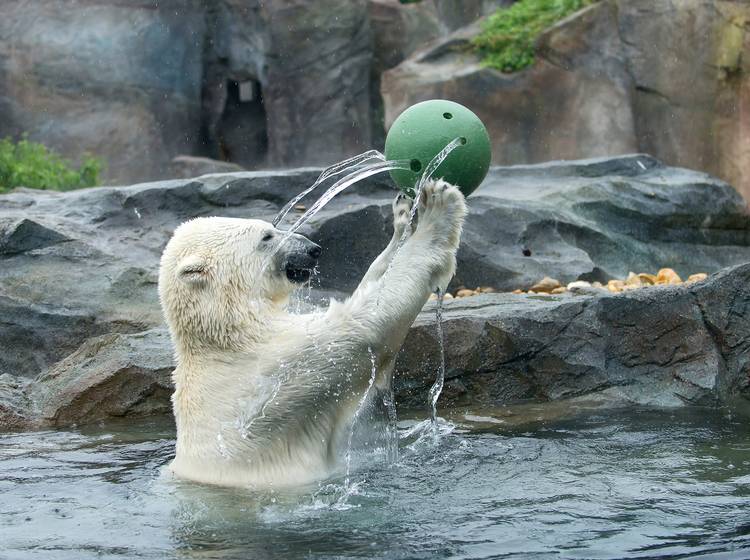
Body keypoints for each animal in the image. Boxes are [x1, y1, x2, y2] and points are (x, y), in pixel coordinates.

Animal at [157, 179, 464, 486]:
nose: (313, 248)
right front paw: (438, 208)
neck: (226, 334)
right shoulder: (278, 368)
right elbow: (365, 325)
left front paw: (402, 218)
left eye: (271, 227)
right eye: (267, 236)